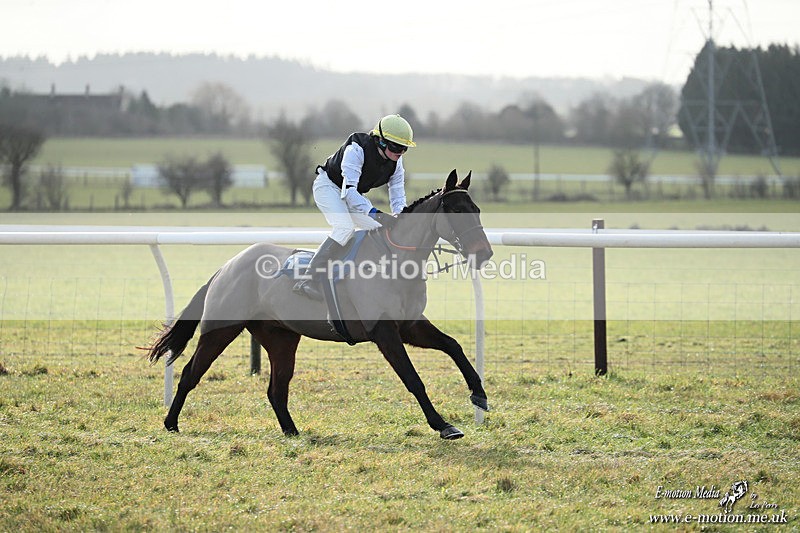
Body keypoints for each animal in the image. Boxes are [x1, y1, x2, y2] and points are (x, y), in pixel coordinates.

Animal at [146, 169, 494, 440]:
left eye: (477, 209)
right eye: (457, 212)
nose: (484, 253)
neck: (393, 260)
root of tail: (225, 267)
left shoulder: (410, 325)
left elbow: (454, 346)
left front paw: (478, 394)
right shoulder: (384, 332)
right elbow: (413, 379)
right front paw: (443, 424)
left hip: (281, 339)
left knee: (276, 389)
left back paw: (291, 431)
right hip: (220, 329)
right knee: (190, 372)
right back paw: (171, 423)